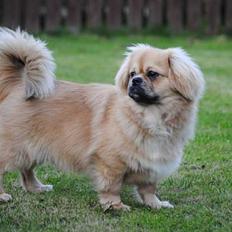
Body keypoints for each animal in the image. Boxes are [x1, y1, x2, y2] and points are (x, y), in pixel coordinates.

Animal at [0, 28, 205, 210]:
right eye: (132, 74)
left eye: (152, 74)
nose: (135, 80)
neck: (150, 117)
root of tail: (19, 84)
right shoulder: (109, 162)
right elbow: (111, 186)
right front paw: (115, 206)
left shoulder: (152, 165)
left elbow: (148, 189)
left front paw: (155, 205)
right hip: (15, 148)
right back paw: (3, 196)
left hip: (31, 148)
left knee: (27, 171)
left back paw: (37, 188)